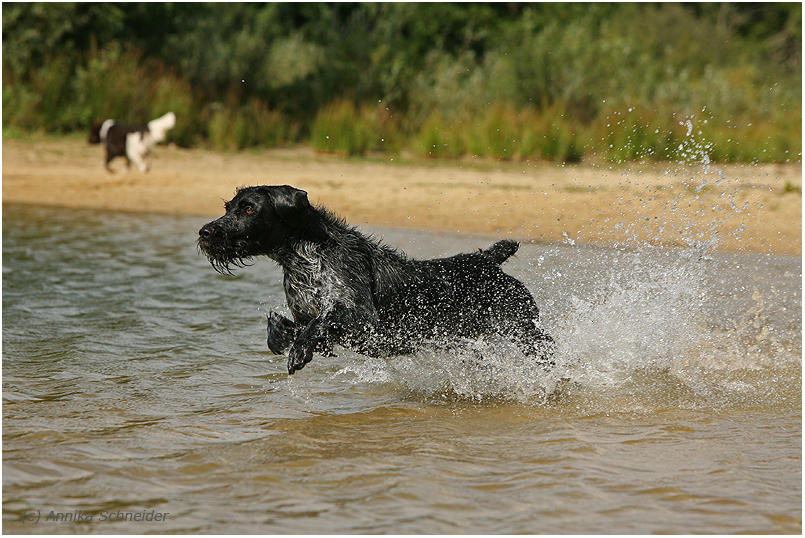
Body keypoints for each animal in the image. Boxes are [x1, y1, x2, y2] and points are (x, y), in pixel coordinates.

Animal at [200, 184, 552, 372]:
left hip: (526, 331)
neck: (304, 259)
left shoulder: (363, 318)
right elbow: (279, 329)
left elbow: (323, 321)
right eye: (228, 207)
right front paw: (286, 339)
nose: (205, 232)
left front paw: (299, 350)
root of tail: (487, 261)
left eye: (248, 209)